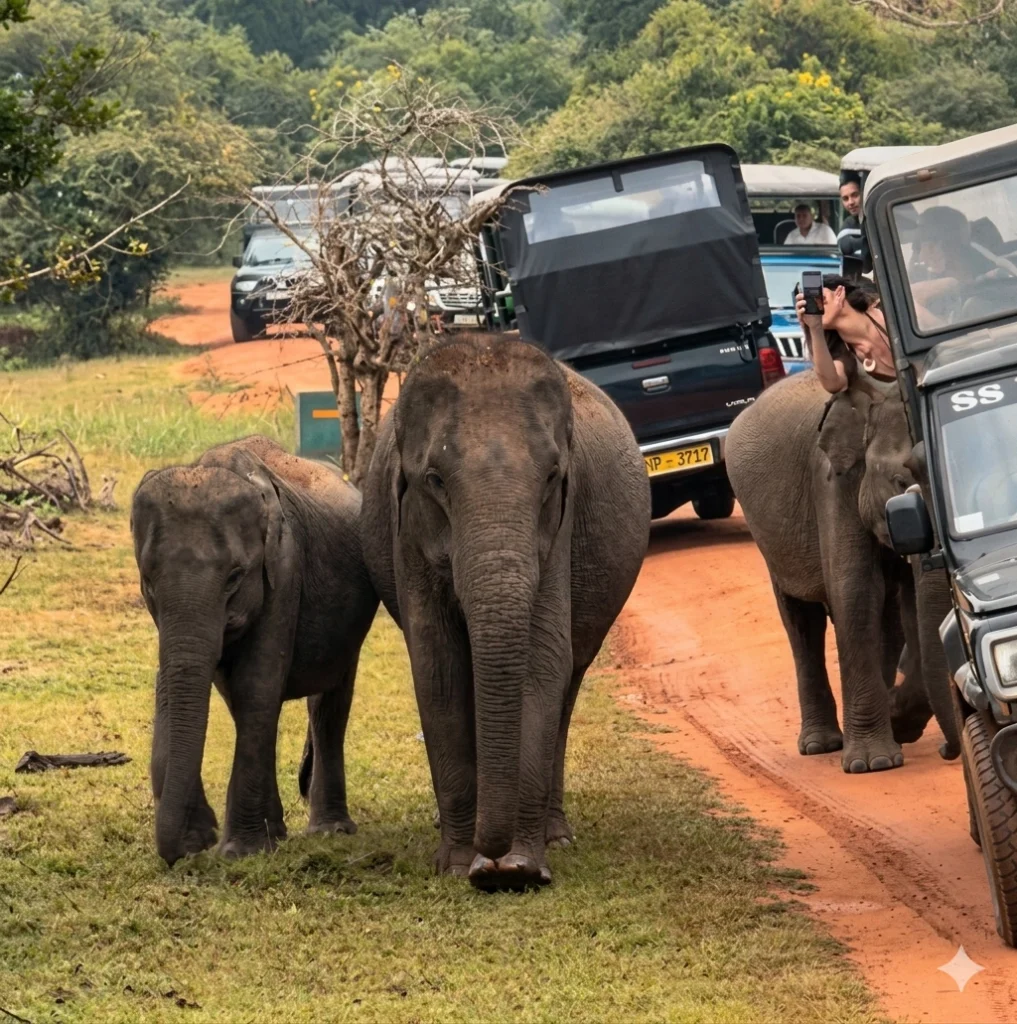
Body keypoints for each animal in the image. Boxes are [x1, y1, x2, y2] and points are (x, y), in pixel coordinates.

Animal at [131, 435, 379, 866]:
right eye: (147, 580)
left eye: (234, 577)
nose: (186, 850)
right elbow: (210, 687)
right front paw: (212, 839)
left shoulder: (284, 570)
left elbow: (256, 686)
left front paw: (240, 851)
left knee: (329, 705)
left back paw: (329, 830)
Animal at [361, 333, 650, 890]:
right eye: (434, 480)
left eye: (553, 476)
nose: (489, 859)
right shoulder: (407, 532)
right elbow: (438, 667)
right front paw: (460, 866)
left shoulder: (559, 530)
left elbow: (543, 660)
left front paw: (518, 868)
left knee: (568, 684)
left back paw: (556, 834)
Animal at [726, 369, 961, 773]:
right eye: (901, 482)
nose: (948, 750)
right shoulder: (833, 484)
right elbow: (855, 592)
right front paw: (873, 763)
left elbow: (909, 605)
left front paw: (898, 721)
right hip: (769, 539)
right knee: (802, 621)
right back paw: (821, 745)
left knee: (888, 618)